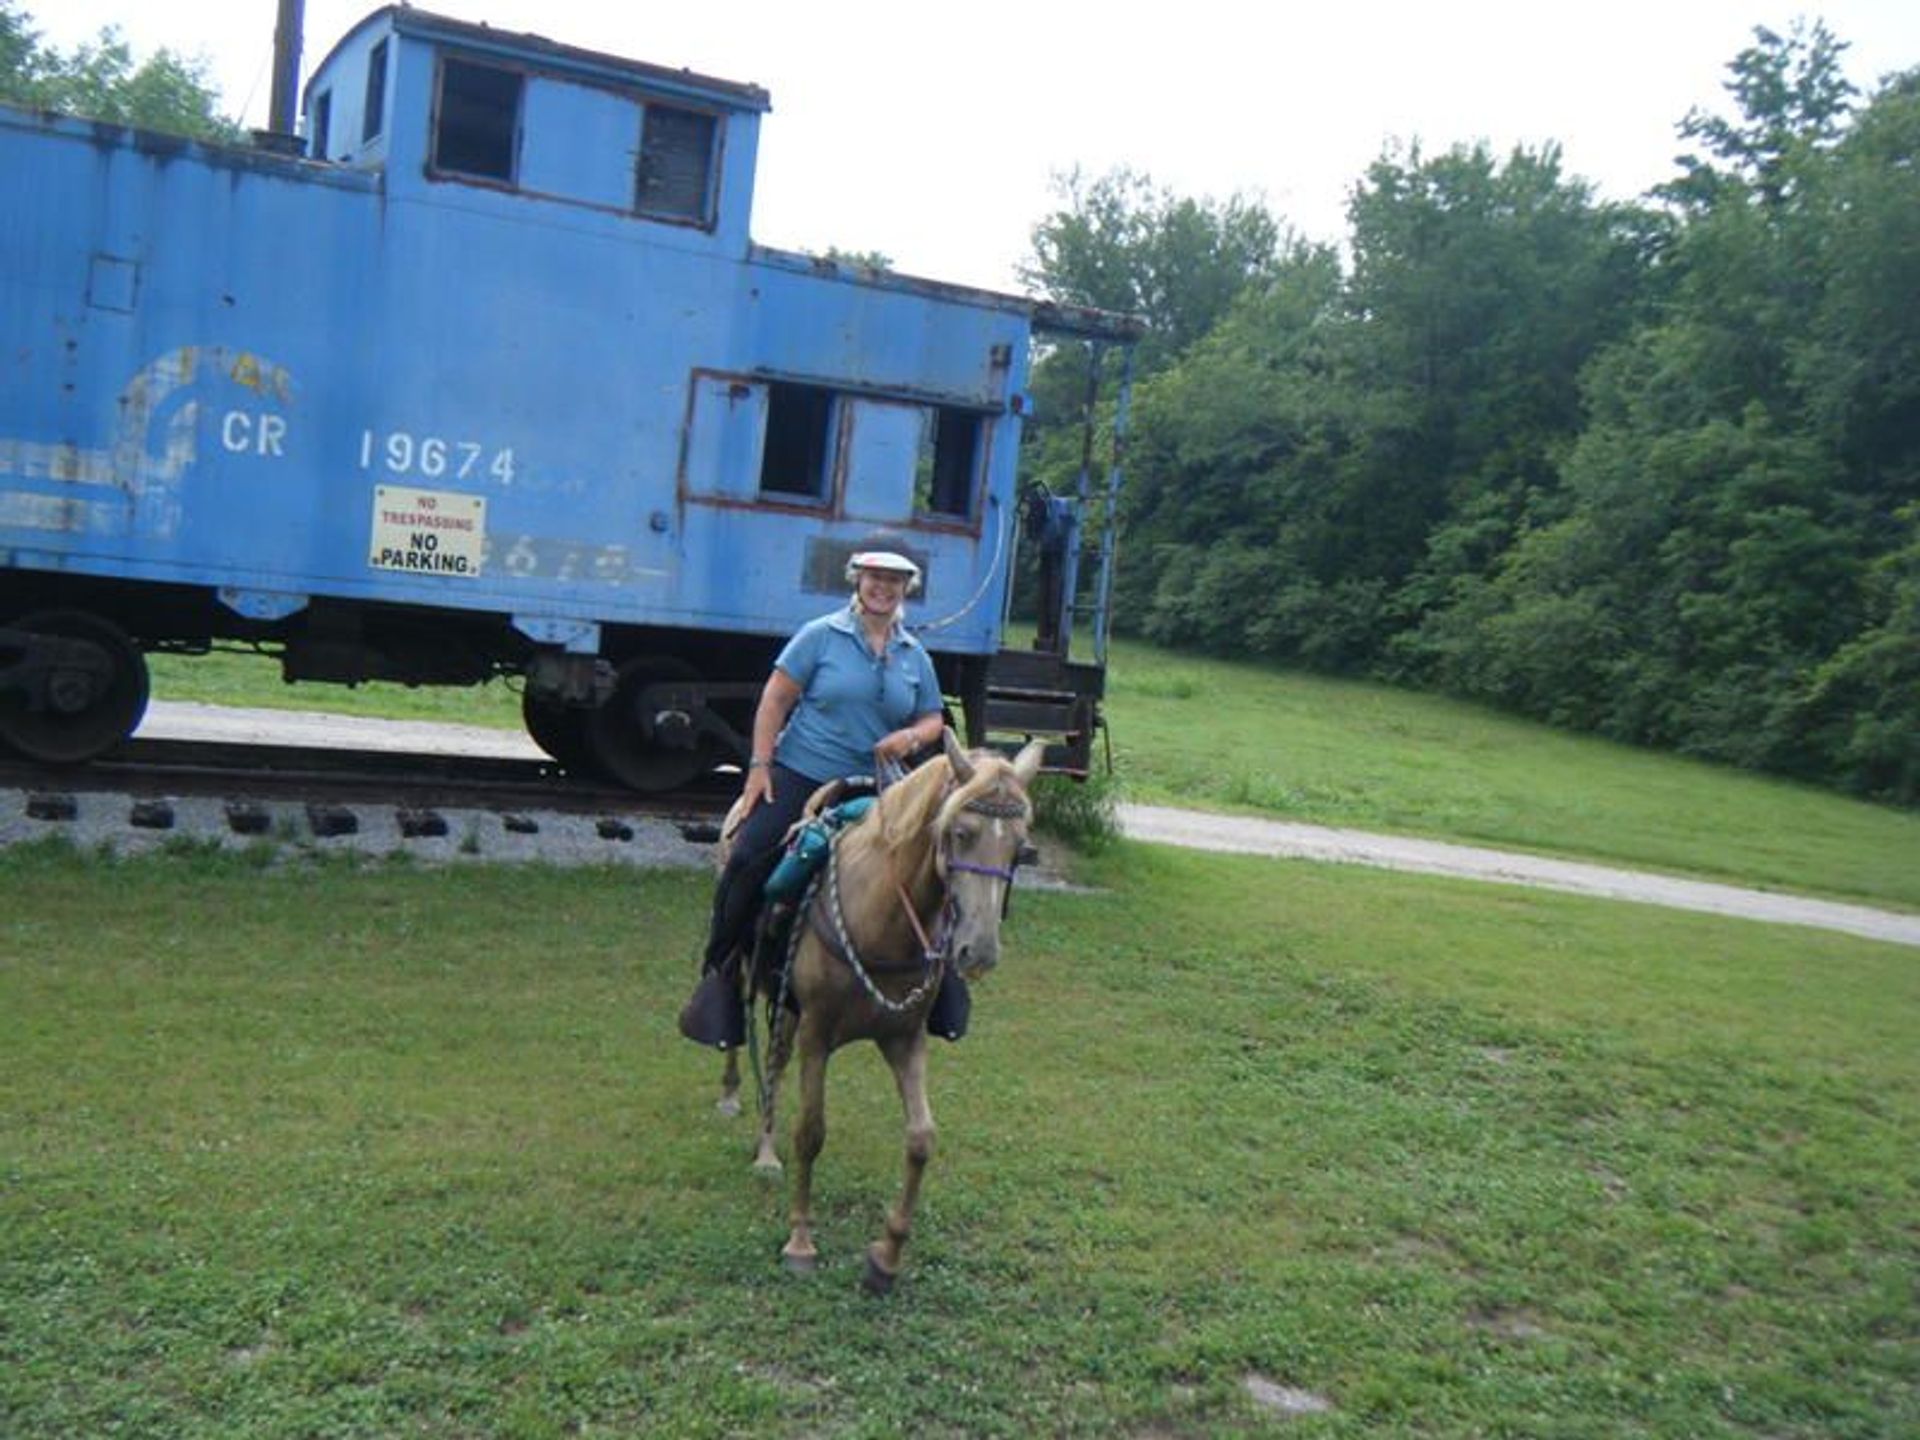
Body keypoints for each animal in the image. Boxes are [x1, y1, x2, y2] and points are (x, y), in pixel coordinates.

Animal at [714, 733, 1044, 1297]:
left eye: (1020, 848)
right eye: (960, 833)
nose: (977, 951)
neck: (882, 917)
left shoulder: (904, 1038)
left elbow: (921, 1138)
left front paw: (886, 1257)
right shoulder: (818, 1034)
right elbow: (811, 1132)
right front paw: (800, 1241)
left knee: (774, 1059)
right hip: (745, 971)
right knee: (747, 1037)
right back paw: (751, 1125)